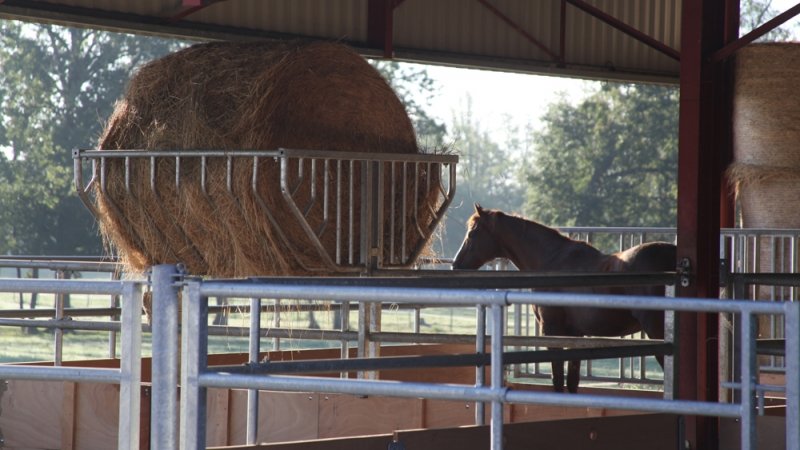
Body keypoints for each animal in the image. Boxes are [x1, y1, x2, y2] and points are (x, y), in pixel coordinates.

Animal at [452, 204, 676, 393]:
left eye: (472, 233)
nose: (456, 265)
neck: (552, 261)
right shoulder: (575, 335)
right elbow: (572, 381)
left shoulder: (552, 330)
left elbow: (558, 380)